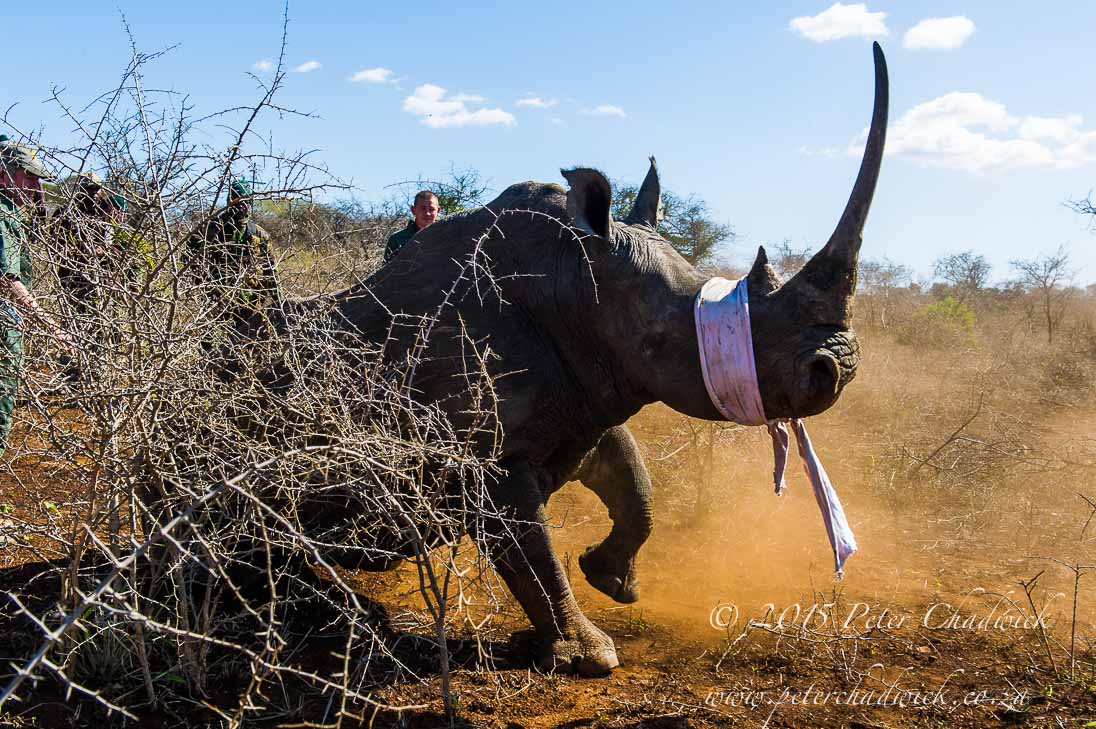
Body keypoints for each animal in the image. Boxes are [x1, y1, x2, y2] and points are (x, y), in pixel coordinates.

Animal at [237, 44, 888, 675]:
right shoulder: (492, 454)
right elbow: (532, 550)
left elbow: (636, 486)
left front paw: (614, 581)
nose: (838, 368)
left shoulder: (590, 395)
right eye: (678, 331)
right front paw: (588, 657)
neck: (575, 280)